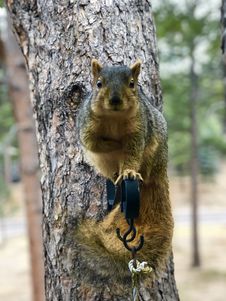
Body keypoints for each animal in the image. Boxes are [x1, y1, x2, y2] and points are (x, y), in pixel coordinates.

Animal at [76, 59, 173, 284]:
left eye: (132, 84)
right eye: (99, 84)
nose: (115, 100)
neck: (114, 118)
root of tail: (161, 170)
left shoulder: (139, 130)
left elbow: (132, 152)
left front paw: (129, 171)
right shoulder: (87, 127)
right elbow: (94, 142)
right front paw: (114, 144)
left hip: (154, 153)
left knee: (145, 169)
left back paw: (132, 175)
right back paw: (115, 176)